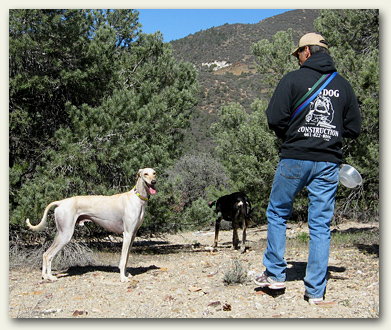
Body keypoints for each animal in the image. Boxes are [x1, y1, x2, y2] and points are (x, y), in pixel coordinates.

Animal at [25, 169, 158, 282]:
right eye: (145, 174)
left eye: (154, 173)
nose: (153, 182)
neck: (137, 198)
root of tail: (61, 202)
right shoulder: (127, 234)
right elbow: (123, 259)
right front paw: (122, 278)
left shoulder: (133, 235)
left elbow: (127, 259)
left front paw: (126, 274)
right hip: (66, 235)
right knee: (49, 255)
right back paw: (50, 277)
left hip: (60, 233)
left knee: (45, 253)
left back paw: (44, 276)